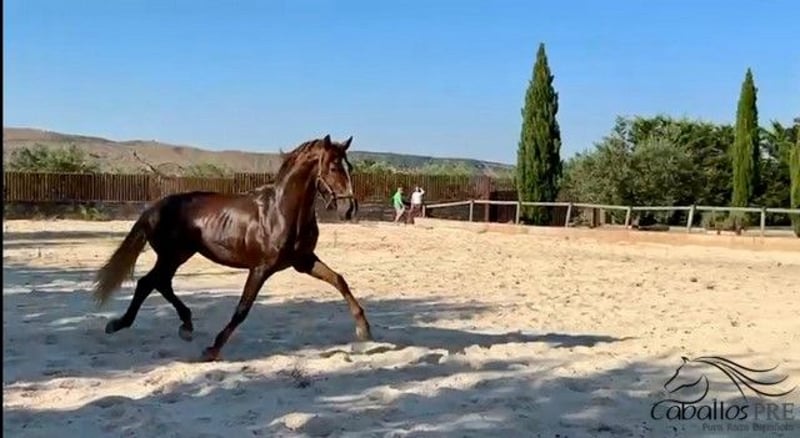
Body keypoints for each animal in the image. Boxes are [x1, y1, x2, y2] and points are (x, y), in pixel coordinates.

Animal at [91, 135, 371, 361]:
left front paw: (364, 330)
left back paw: (182, 326)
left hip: (178, 256)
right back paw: (126, 325)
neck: (280, 212)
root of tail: (154, 208)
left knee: (155, 283)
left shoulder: (303, 261)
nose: (349, 209)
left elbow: (339, 280)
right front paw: (212, 349)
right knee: (150, 283)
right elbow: (242, 309)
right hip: (171, 256)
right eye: (333, 167)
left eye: (349, 167)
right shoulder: (260, 268)